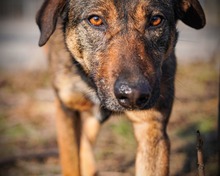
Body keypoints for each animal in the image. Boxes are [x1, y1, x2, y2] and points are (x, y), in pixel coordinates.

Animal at [36, 0, 206, 175]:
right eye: (95, 19)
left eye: (156, 20)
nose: (134, 95)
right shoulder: (66, 106)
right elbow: (71, 163)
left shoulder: (151, 125)